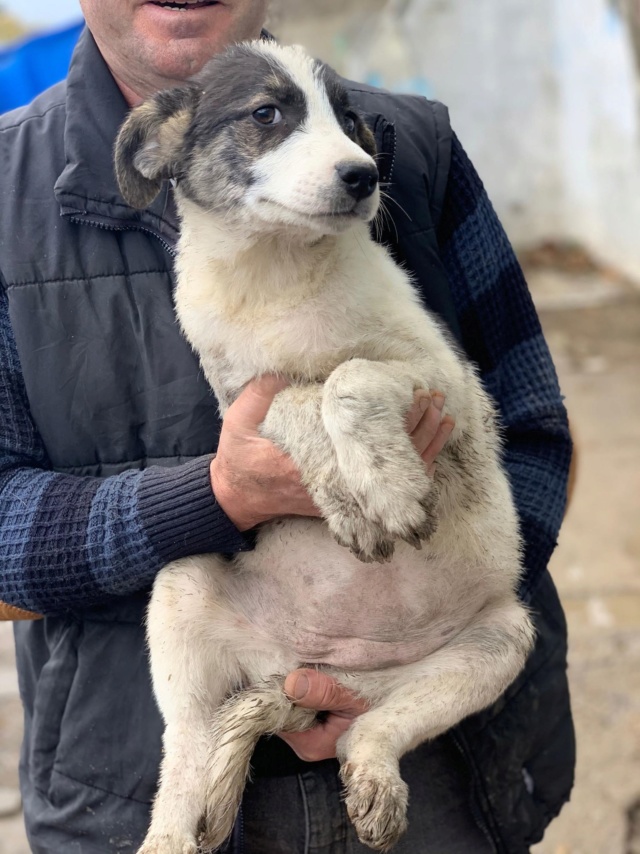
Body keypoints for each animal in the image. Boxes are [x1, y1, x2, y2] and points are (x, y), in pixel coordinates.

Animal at [115, 41, 536, 854]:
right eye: (266, 114)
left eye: (348, 119)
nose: (363, 176)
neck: (276, 272)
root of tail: (318, 666)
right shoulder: (240, 398)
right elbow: (296, 398)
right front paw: (349, 498)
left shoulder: (449, 385)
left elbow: (346, 376)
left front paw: (386, 490)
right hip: (180, 587)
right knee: (185, 751)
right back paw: (171, 832)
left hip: (498, 642)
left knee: (365, 732)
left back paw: (375, 780)